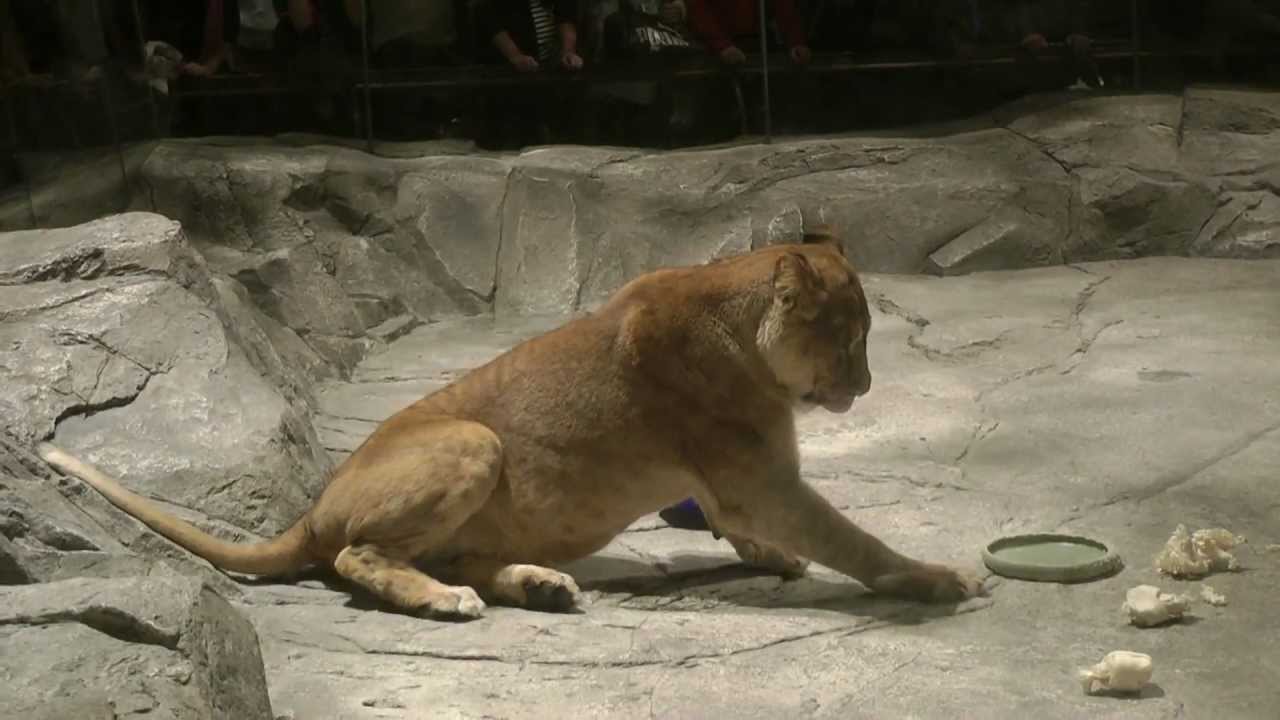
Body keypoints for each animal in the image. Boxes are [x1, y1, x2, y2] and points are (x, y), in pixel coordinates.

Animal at [39, 230, 983, 620]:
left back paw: (541, 586)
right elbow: (852, 539)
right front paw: (938, 580)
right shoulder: (760, 479)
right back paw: (449, 600)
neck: (740, 319)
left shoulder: (736, 488)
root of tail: (311, 508)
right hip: (473, 441)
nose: (865, 384)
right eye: (851, 340)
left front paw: (774, 558)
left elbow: (754, 528)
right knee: (356, 557)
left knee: (448, 556)